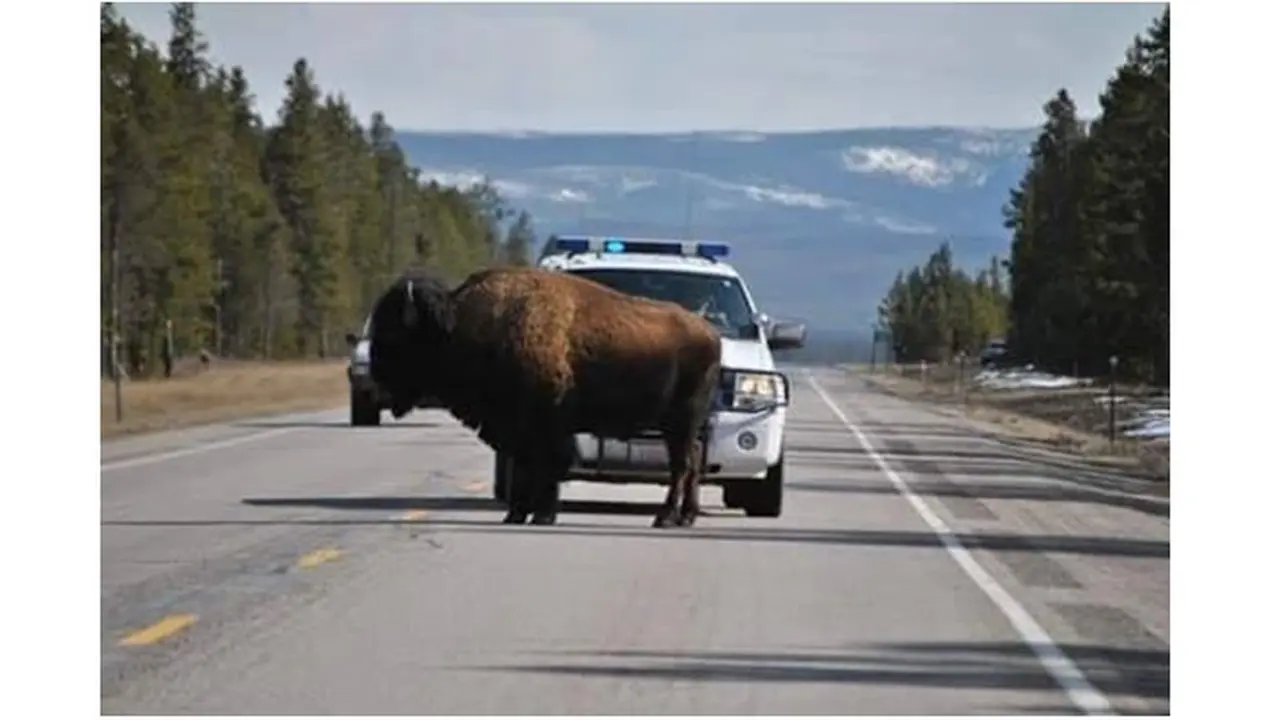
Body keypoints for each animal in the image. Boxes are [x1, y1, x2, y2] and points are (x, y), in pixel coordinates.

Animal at [367, 265, 723, 528]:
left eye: (393, 336)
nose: (373, 384)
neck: (463, 326)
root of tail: (711, 333)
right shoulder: (514, 427)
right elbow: (526, 467)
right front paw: (515, 515)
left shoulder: (545, 425)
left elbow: (547, 466)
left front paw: (542, 515)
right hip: (680, 425)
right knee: (692, 462)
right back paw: (685, 518)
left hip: (680, 421)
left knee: (681, 465)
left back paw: (665, 518)